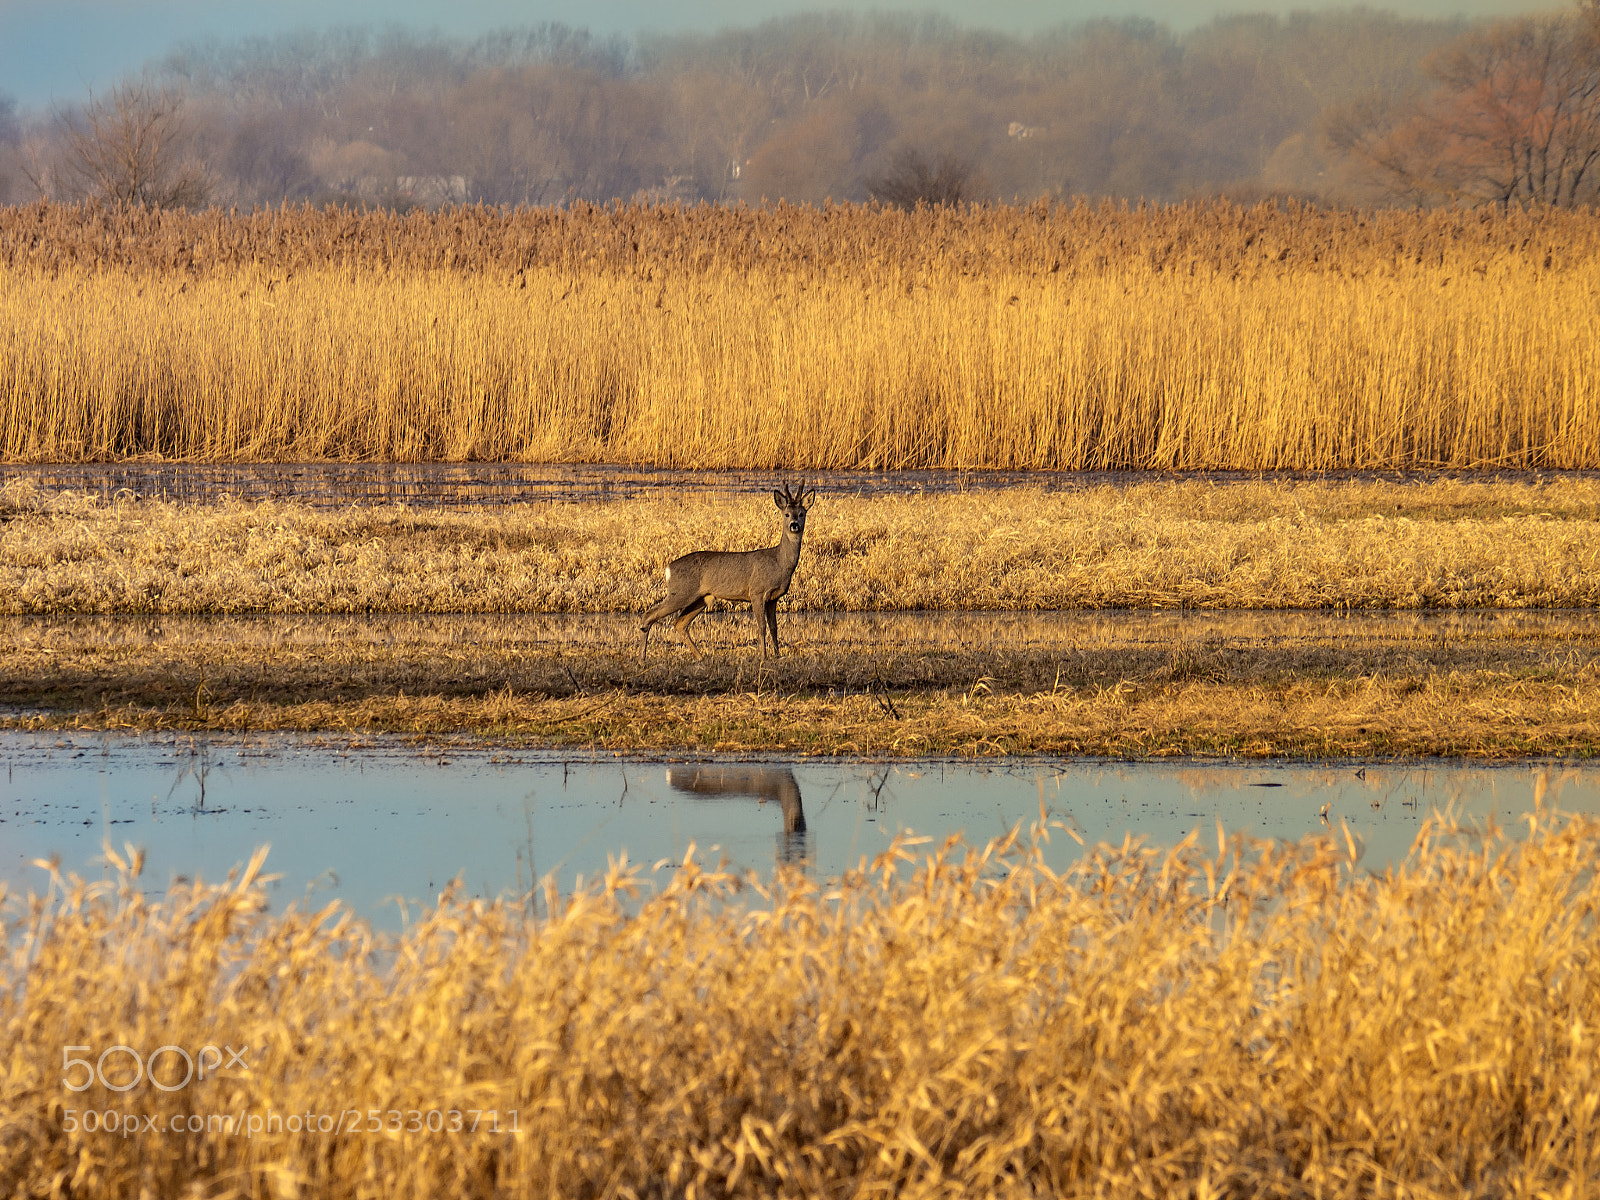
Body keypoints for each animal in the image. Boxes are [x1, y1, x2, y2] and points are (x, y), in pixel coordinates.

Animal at [640, 481, 815, 662]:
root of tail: (668, 568)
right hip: (681, 591)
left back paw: (700, 656)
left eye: (801, 513)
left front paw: (777, 656)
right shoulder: (757, 592)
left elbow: (774, 627)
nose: (794, 524)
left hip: (701, 598)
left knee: (679, 623)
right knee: (649, 614)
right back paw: (642, 657)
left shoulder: (774, 598)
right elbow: (762, 626)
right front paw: (763, 657)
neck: (779, 562)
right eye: (786, 514)